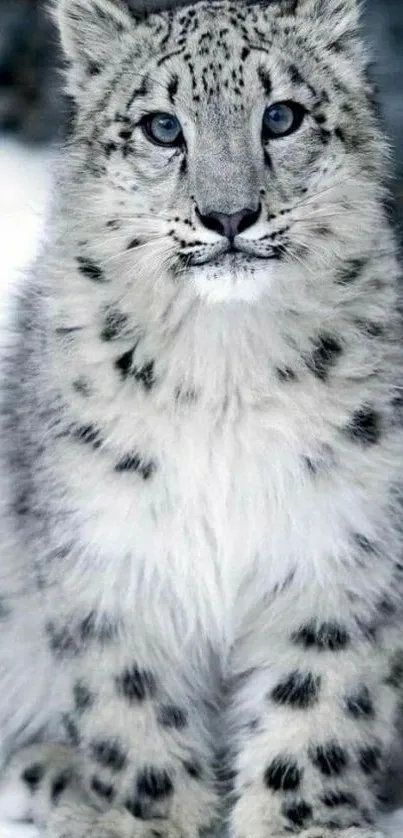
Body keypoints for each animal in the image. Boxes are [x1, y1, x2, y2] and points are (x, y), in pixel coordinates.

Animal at [0, 0, 403, 836]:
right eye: (161, 126)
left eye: (280, 116)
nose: (228, 215)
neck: (224, 370)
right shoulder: (113, 550)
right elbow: (134, 707)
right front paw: (149, 819)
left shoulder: (337, 547)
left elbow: (315, 709)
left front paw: (297, 823)